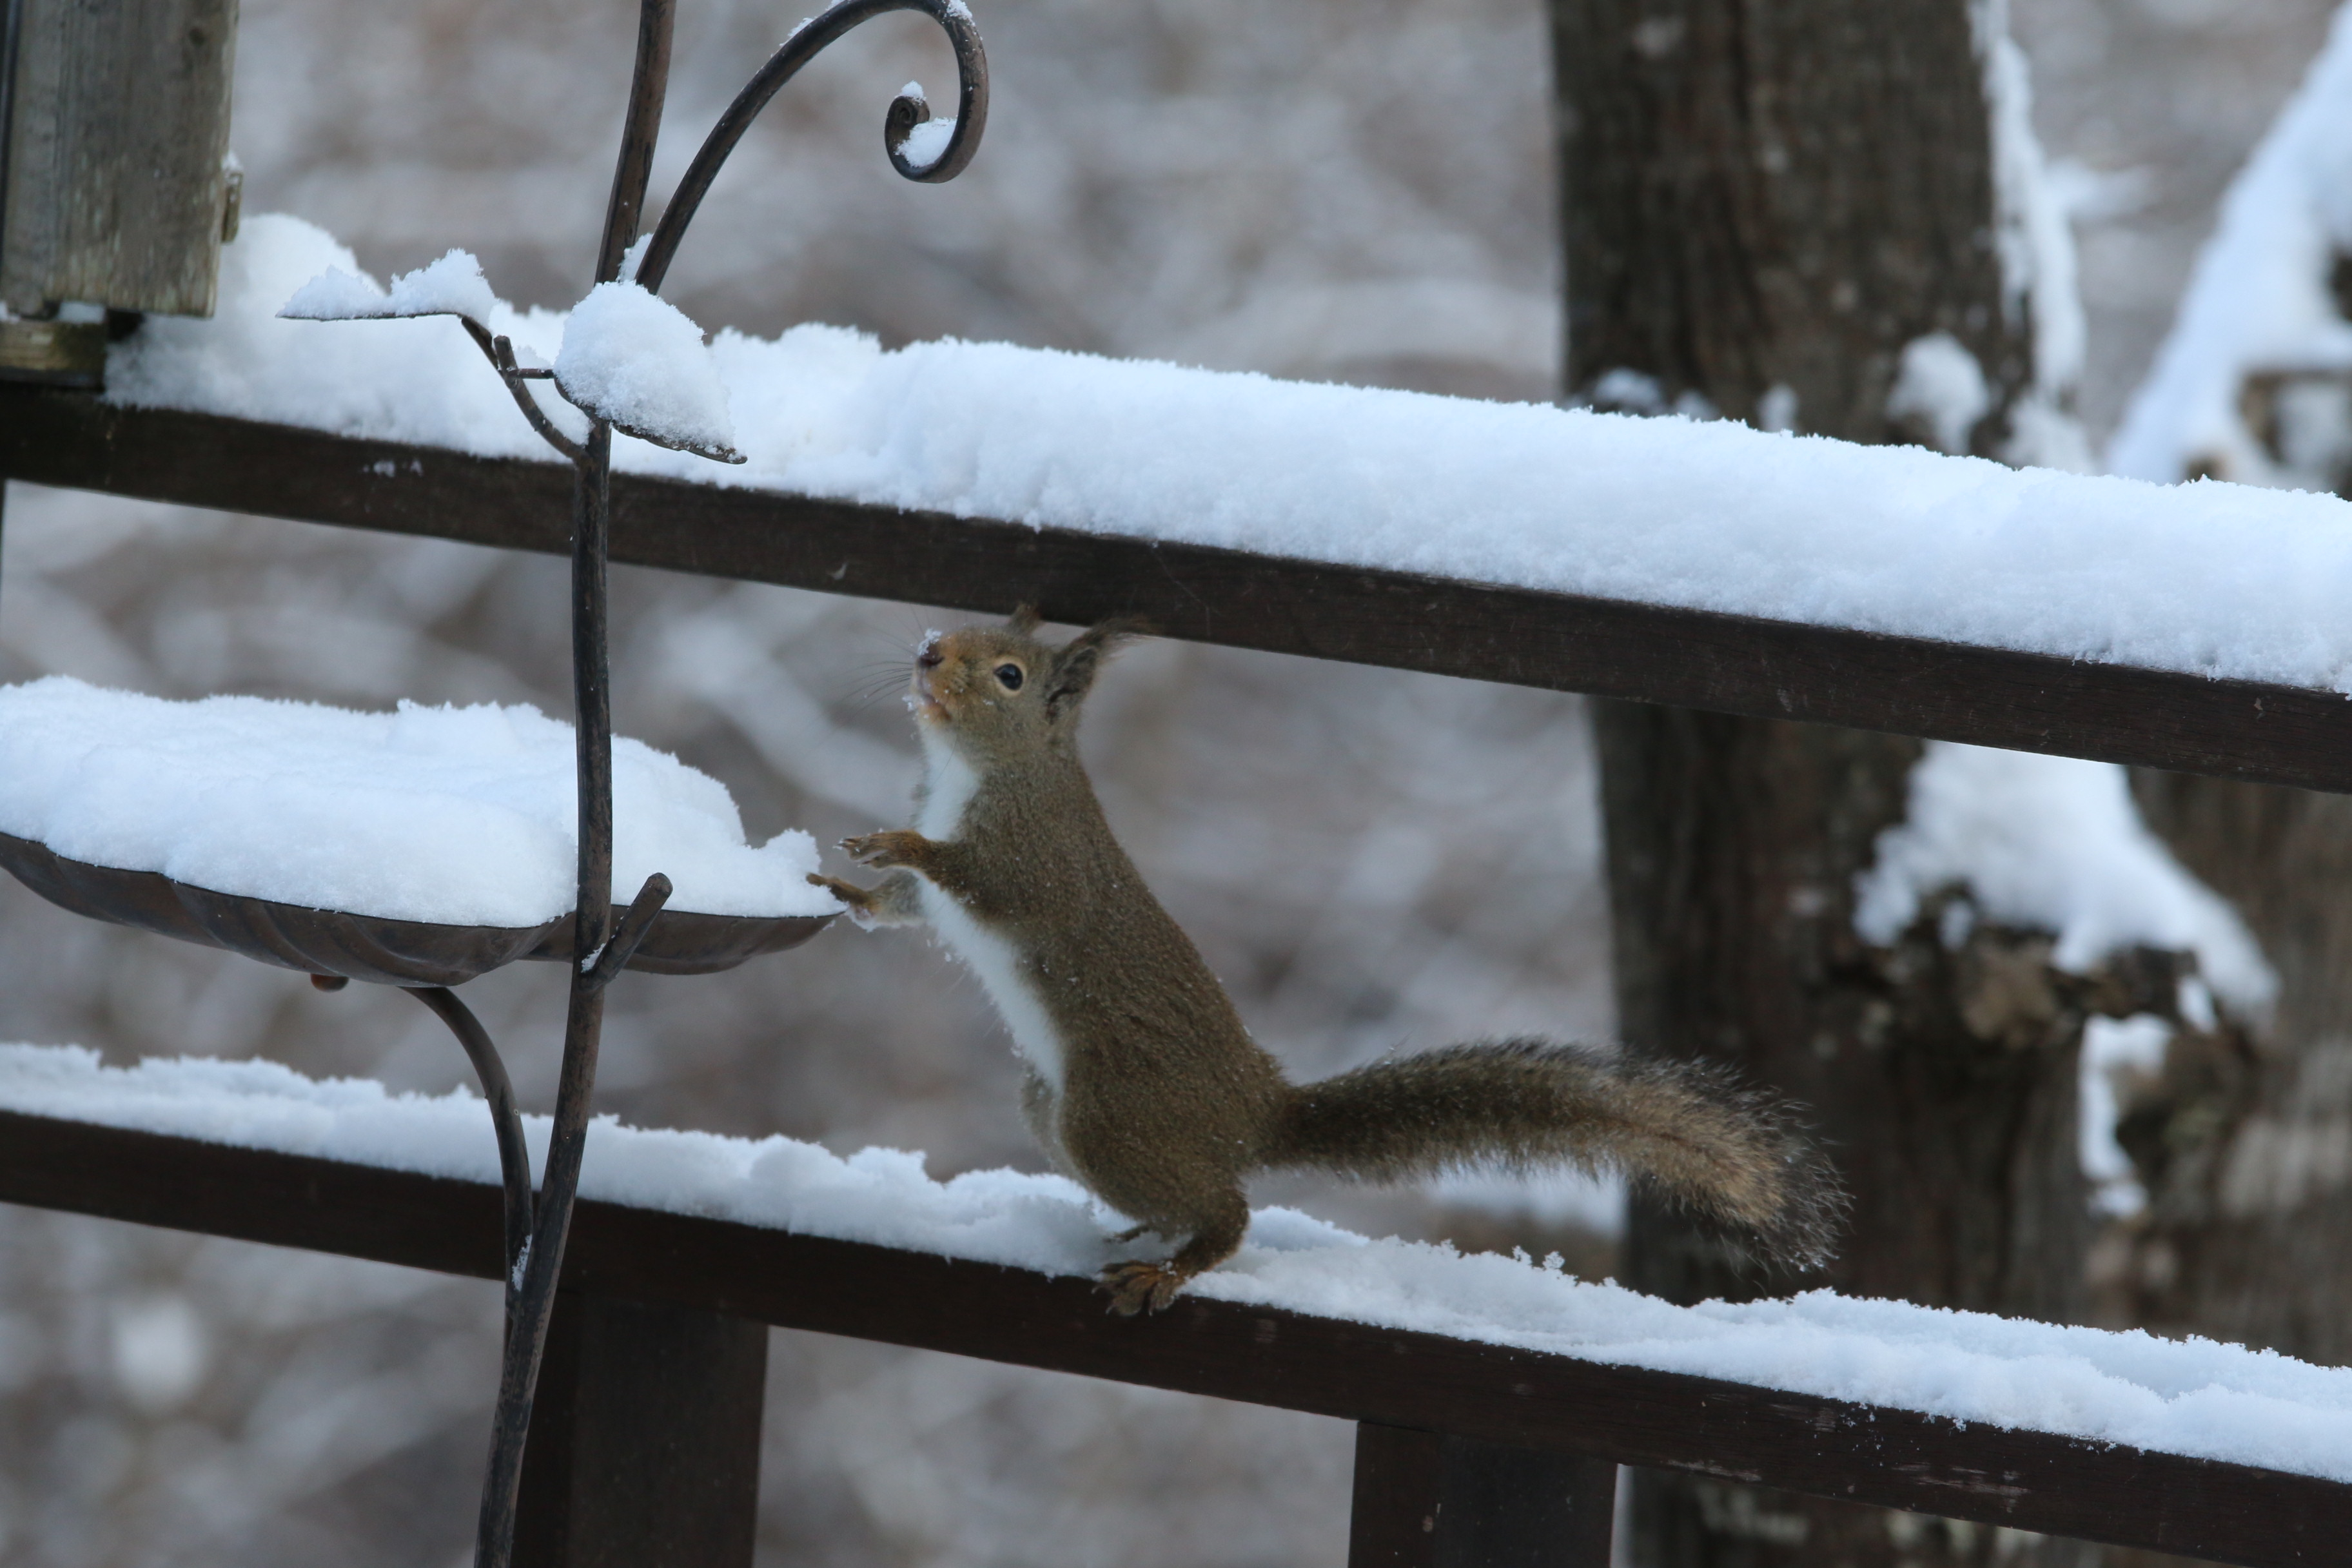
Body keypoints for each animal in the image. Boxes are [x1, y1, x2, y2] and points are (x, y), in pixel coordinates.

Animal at [818, 606, 1844, 1316]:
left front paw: (897, 844)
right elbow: (906, 907)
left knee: (1232, 1211)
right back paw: (1158, 1226)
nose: (926, 652)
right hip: (1052, 1108)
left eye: (1008, 674)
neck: (981, 772)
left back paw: (1176, 1263)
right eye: (964, 631)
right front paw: (847, 893)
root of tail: (1255, 1114)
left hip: (1109, 1118)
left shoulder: (1035, 865)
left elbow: (979, 883)